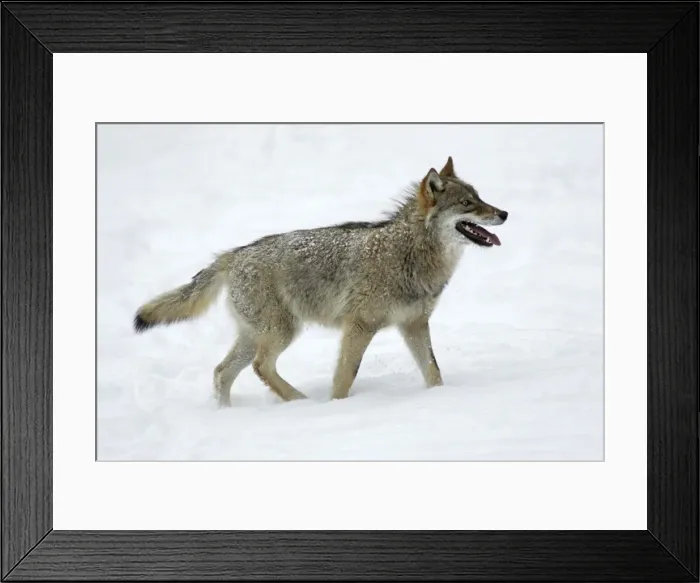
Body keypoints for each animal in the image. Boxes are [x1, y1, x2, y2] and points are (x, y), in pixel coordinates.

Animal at [133, 157, 508, 406]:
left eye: (480, 198)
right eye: (468, 203)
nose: (504, 213)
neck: (409, 253)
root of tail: (234, 254)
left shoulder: (414, 324)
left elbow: (433, 372)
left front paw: (441, 401)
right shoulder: (359, 326)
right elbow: (344, 377)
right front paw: (337, 409)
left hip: (256, 336)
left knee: (222, 372)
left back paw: (229, 413)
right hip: (282, 332)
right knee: (259, 367)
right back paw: (299, 401)